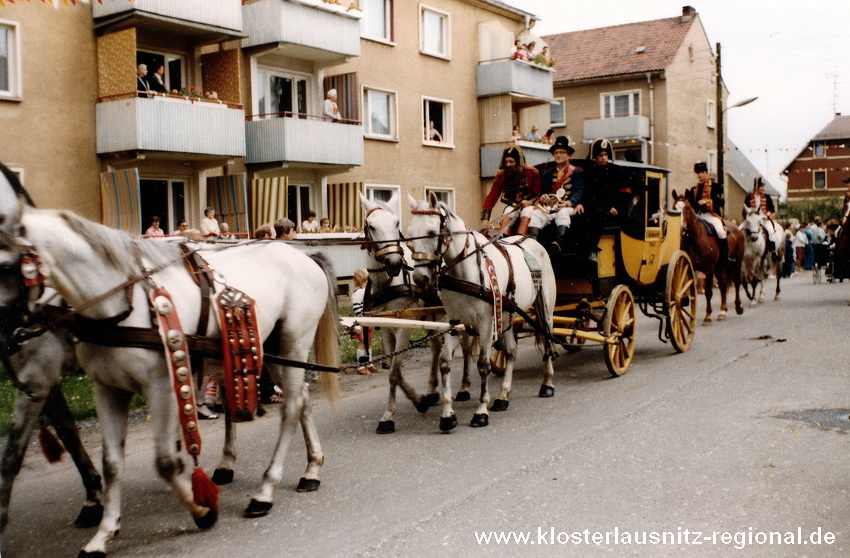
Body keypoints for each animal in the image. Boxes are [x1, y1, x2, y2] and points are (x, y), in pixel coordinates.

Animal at [0, 203, 338, 556]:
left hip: (292, 344)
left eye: (6, 264)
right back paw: (311, 468)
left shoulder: (159, 387)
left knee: (290, 409)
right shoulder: (106, 389)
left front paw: (202, 511)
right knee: (301, 399)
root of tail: (305, 256)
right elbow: (111, 463)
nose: (10, 337)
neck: (122, 301)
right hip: (268, 351)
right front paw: (103, 534)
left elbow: (165, 462)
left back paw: (265, 491)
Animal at [360, 195, 476, 436]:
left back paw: (464, 387)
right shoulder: (386, 326)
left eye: (396, 223)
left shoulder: (404, 323)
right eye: (372, 226)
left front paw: (390, 416)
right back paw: (432, 389)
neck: (388, 282)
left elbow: (395, 372)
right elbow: (395, 370)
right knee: (436, 347)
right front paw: (419, 401)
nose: (394, 263)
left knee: (467, 346)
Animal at [406, 194, 556, 434]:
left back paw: (547, 384)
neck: (465, 270)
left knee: (547, 339)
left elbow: (483, 364)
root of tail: (531, 241)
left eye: (431, 232)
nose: (421, 279)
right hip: (506, 315)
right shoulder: (454, 320)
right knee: (511, 352)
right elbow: (445, 363)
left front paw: (481, 411)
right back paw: (503, 396)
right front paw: (447, 415)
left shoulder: (486, 323)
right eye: (411, 233)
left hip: (544, 308)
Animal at [676, 197, 744, 326]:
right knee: (723, 286)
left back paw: (738, 307)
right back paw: (722, 311)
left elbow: (708, 292)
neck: (695, 239)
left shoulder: (709, 268)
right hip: (720, 267)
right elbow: (687, 291)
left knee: (737, 283)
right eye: (673, 208)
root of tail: (736, 227)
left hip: (737, 263)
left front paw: (707, 316)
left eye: (687, 208)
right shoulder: (689, 268)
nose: (681, 227)